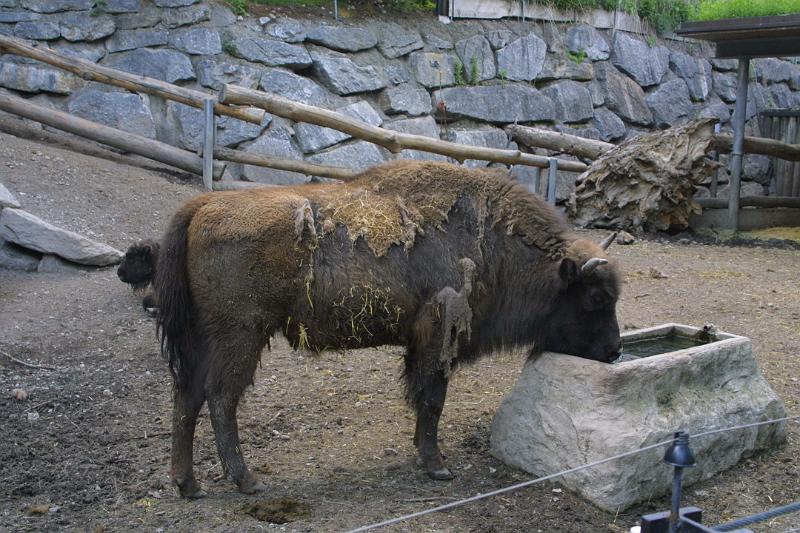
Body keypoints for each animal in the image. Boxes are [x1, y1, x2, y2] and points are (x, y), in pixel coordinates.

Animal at [154, 160, 622, 498]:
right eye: (596, 298)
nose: (616, 350)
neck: (495, 243)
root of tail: (202, 207)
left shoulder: (420, 344)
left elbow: (422, 399)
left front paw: (424, 455)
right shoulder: (438, 338)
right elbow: (432, 399)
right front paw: (438, 467)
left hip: (203, 339)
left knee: (186, 396)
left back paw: (187, 485)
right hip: (241, 336)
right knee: (220, 398)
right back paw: (246, 480)